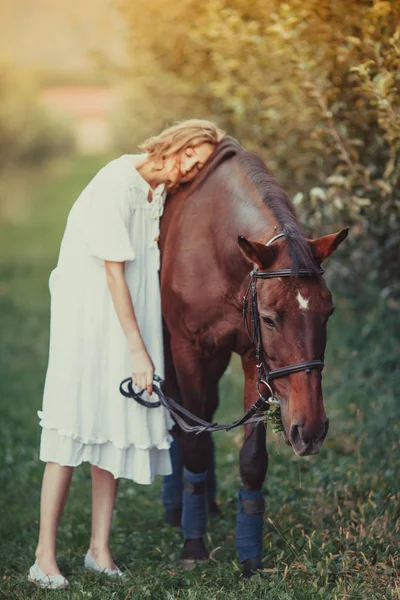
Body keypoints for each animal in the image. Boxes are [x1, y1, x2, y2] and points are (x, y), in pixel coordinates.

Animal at [159, 136, 346, 576]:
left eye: (328, 312)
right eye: (270, 318)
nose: (311, 430)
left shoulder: (252, 358)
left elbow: (252, 459)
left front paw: (249, 556)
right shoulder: (187, 349)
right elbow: (191, 440)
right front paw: (193, 545)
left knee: (207, 411)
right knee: (179, 418)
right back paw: (179, 508)